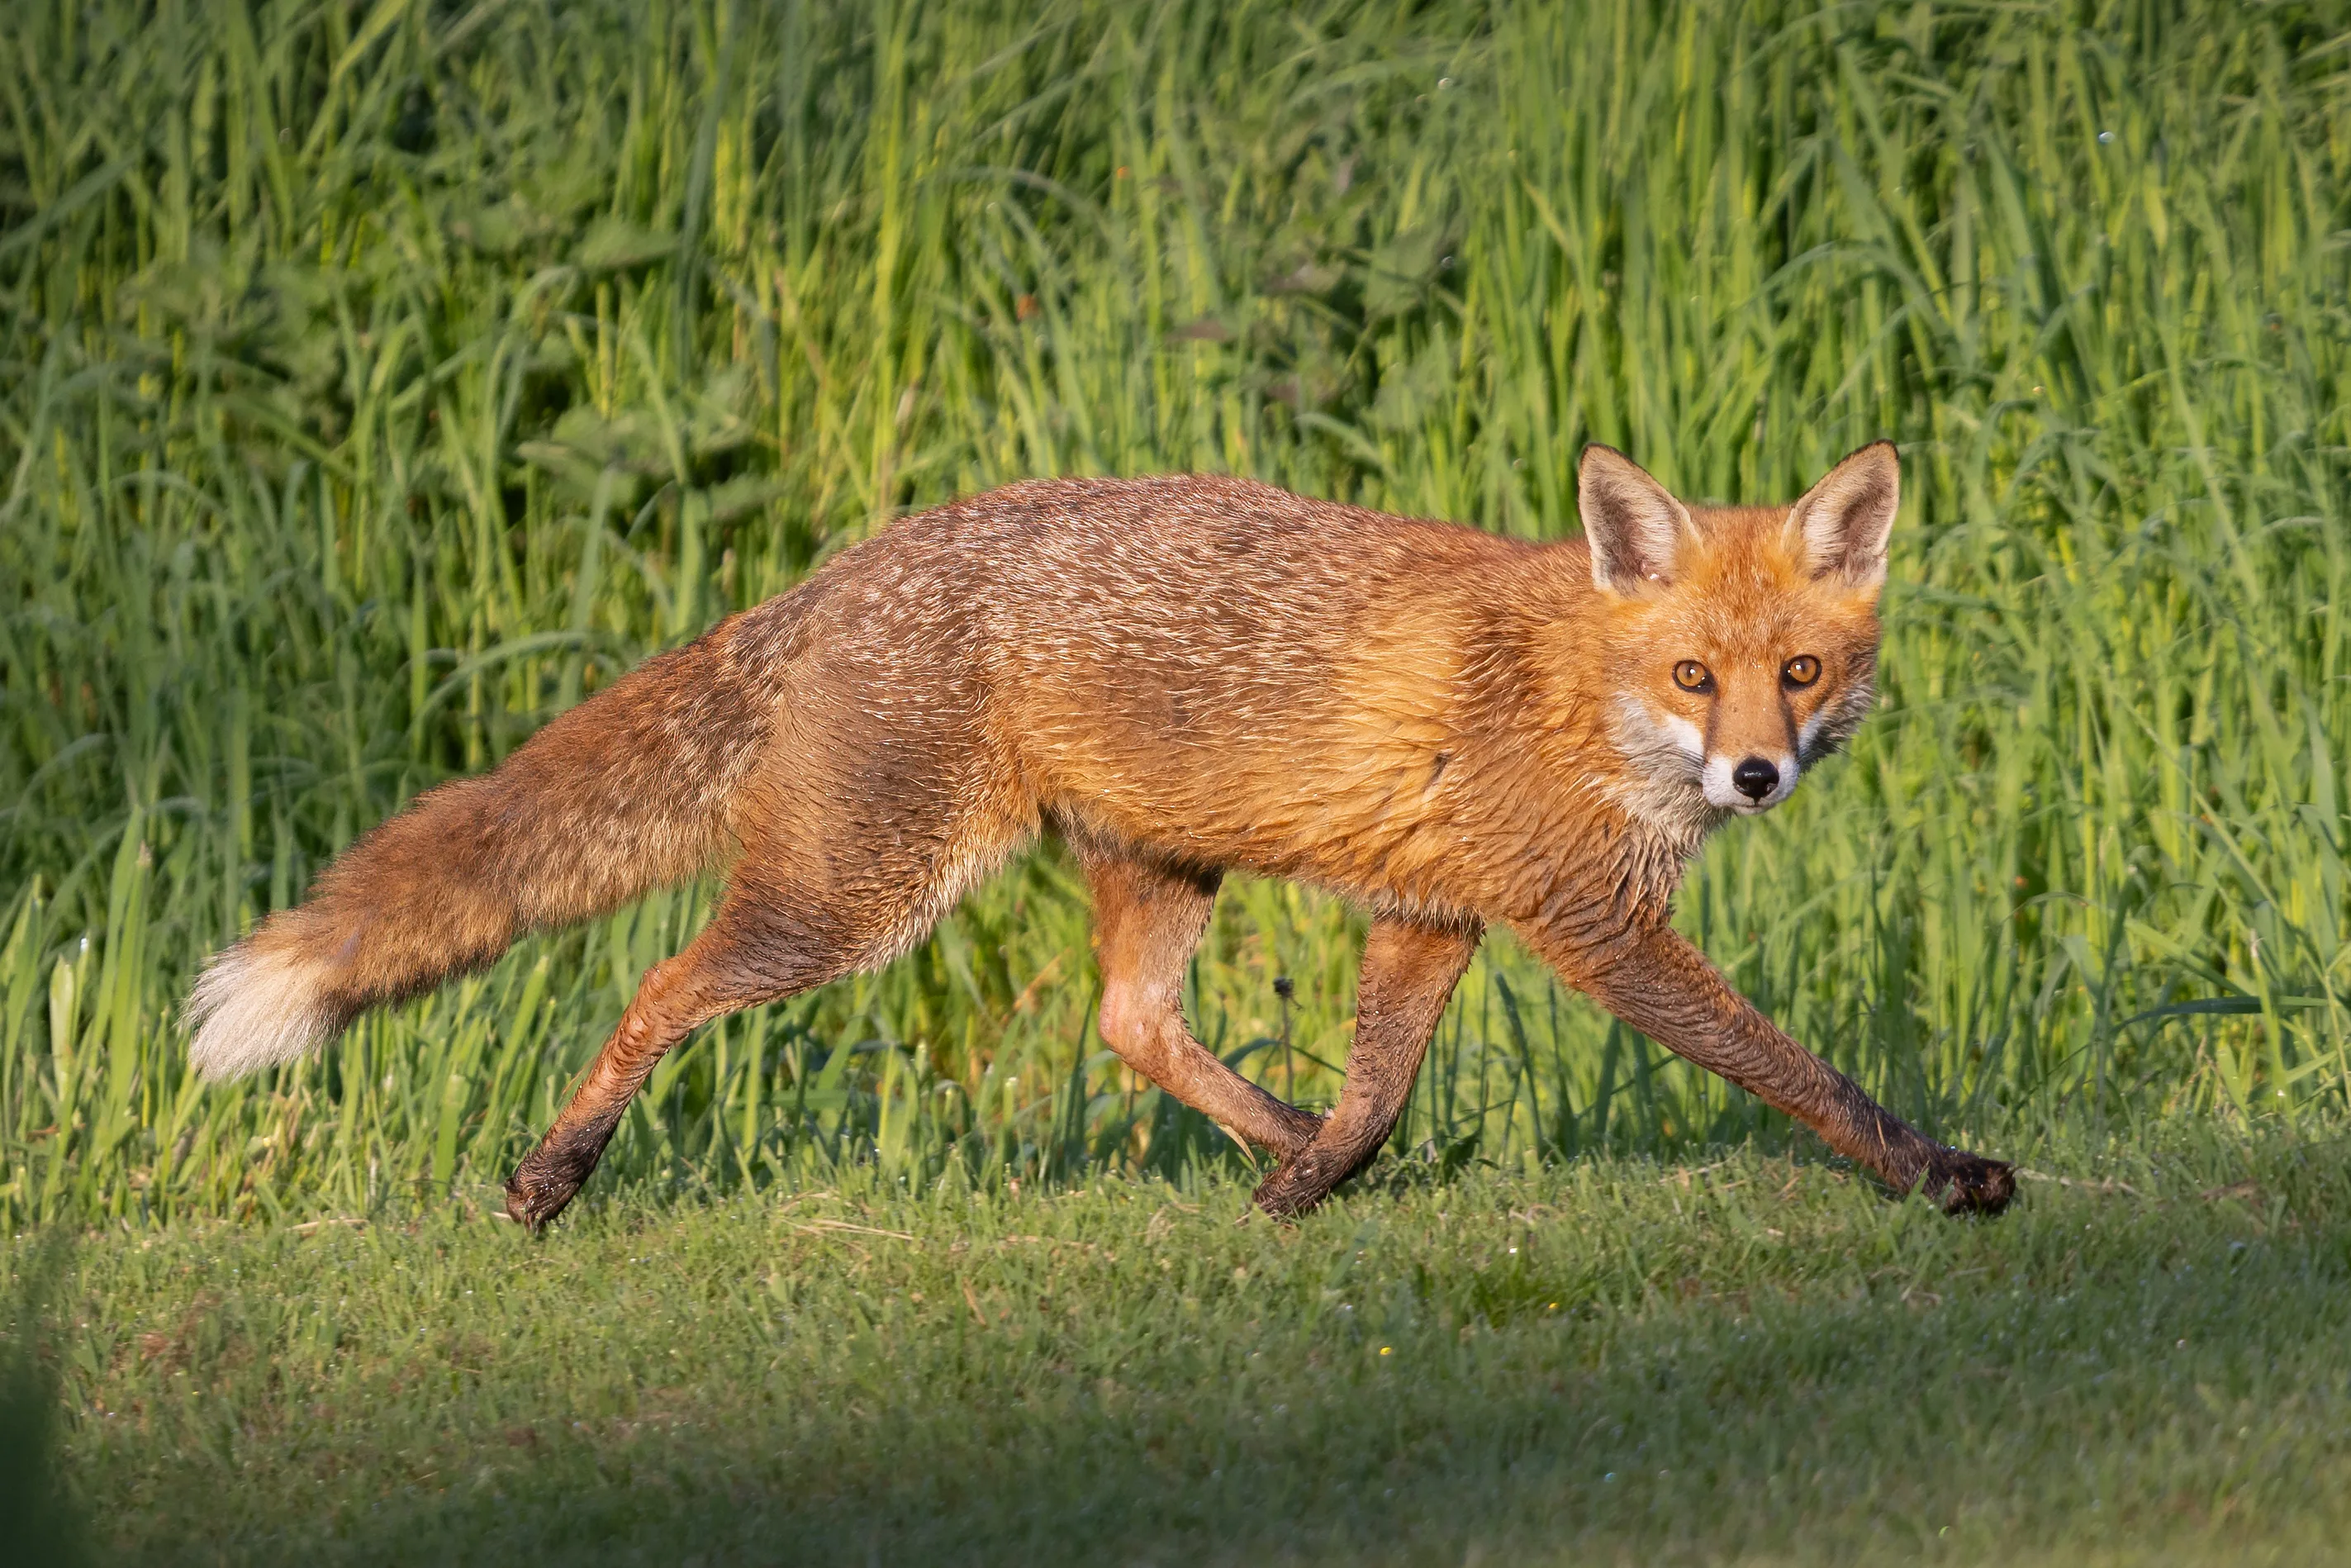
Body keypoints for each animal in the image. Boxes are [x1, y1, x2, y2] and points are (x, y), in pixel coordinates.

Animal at [184, 441, 2016, 1229]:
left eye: (1799, 671)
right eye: (1695, 675)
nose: (1756, 775)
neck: (1578, 690)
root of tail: (844, 567)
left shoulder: (1432, 912)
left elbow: (1381, 1082)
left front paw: (1317, 1180)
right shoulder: (1588, 921)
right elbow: (1793, 1070)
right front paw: (1939, 1173)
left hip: (1155, 864)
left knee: (1135, 1022)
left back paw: (1278, 1139)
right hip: (854, 899)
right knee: (656, 984)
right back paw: (554, 1175)